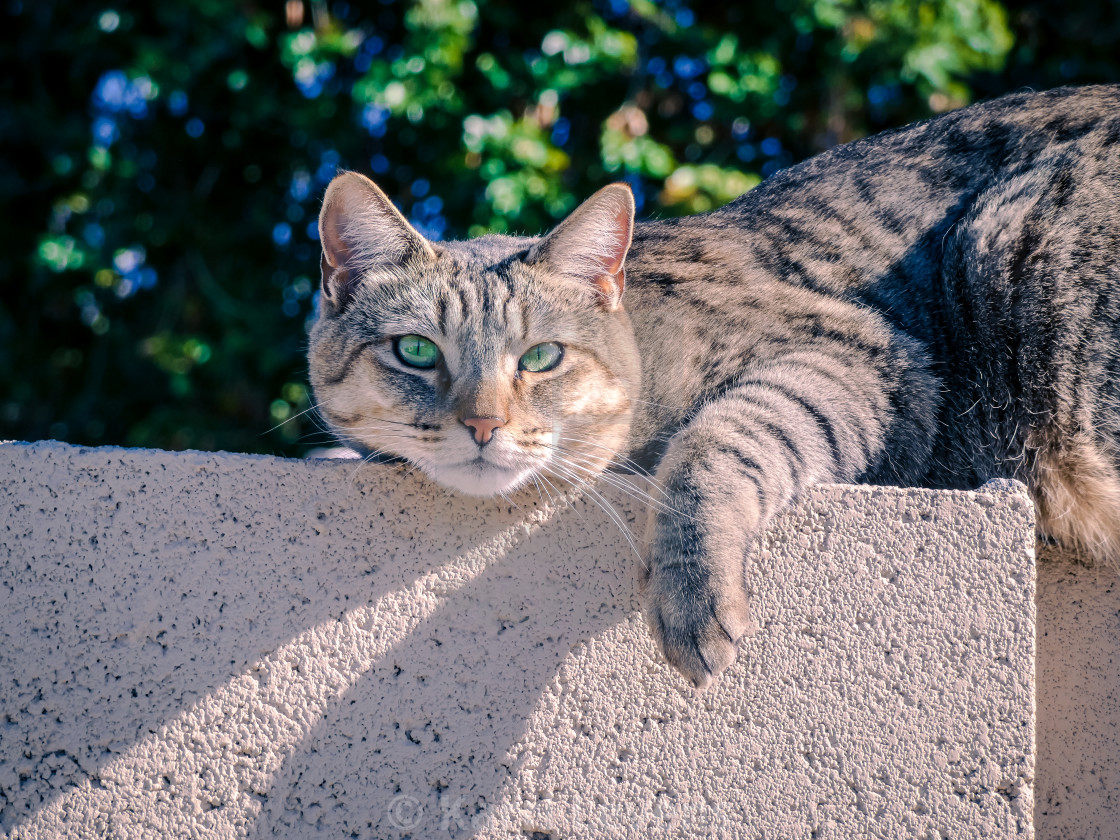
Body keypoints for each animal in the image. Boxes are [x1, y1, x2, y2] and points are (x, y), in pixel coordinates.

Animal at [306, 85, 1120, 689]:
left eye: (541, 357)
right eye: (416, 351)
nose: (483, 425)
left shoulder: (862, 357)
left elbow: (715, 443)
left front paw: (693, 594)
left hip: (1016, 253)